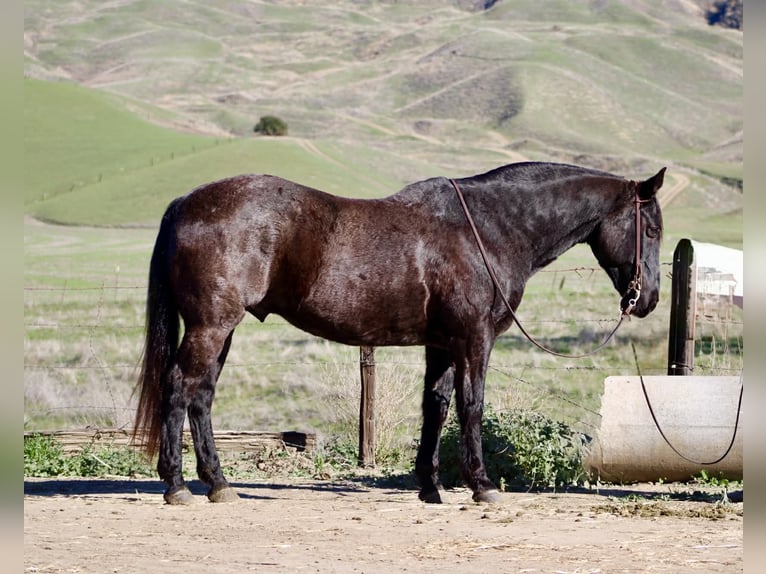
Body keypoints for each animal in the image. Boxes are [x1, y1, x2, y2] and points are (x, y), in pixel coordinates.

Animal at [133, 161, 665, 505]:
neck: (487, 228)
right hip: (211, 326)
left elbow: (436, 407)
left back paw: (218, 484)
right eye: (652, 229)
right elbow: (472, 406)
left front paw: (430, 486)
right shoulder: (475, 339)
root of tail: (186, 203)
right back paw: (177, 486)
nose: (649, 299)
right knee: (179, 388)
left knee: (201, 396)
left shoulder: (443, 345)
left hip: (220, 331)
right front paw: (482, 485)